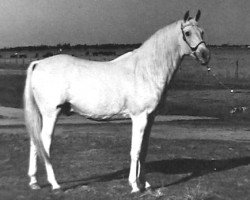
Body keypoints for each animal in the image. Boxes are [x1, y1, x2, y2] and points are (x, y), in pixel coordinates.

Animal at [24, 10, 210, 193]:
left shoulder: (150, 118)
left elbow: (144, 151)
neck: (146, 70)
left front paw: (146, 184)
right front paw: (134, 186)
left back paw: (34, 182)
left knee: (35, 140)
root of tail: (38, 63)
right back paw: (55, 184)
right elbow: (135, 151)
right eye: (187, 33)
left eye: (202, 32)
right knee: (44, 142)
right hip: (51, 113)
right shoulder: (139, 117)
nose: (205, 55)